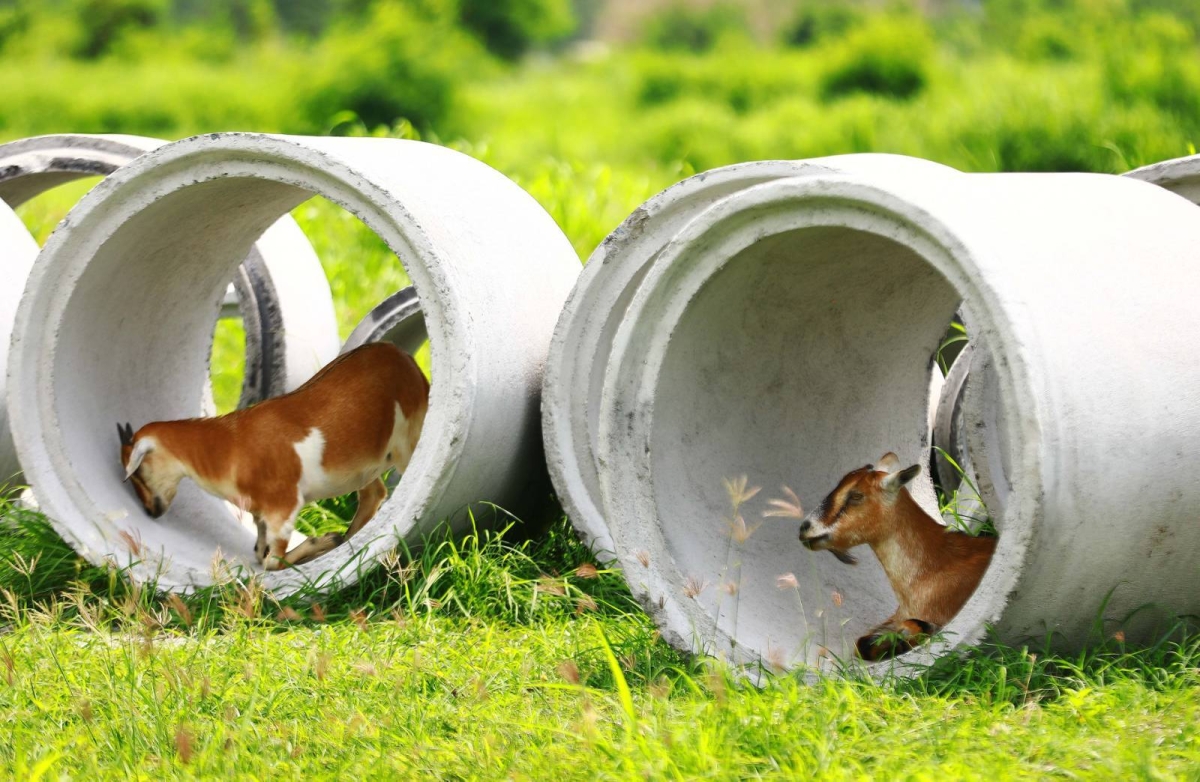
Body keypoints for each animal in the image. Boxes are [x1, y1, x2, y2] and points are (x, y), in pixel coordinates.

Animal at [118, 342, 429, 570]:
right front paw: (329, 544)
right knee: (373, 494)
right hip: (365, 466)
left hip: (407, 445)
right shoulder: (262, 515)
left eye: (138, 471)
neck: (231, 444)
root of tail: (409, 364)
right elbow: (259, 552)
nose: (150, 511)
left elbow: (271, 561)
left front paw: (323, 541)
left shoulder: (284, 509)